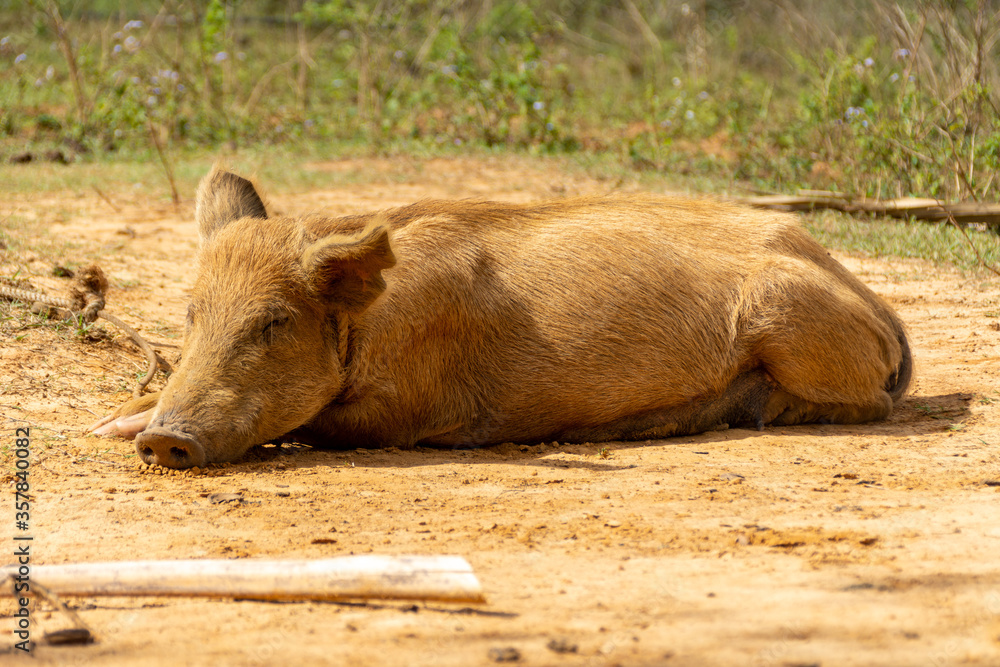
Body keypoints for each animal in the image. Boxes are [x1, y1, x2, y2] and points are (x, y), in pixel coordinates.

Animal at [91, 164, 912, 469]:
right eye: (190, 315)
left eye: (273, 323)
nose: (165, 439)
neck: (373, 323)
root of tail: (880, 308)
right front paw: (105, 426)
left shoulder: (416, 409)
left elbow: (315, 424)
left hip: (790, 317)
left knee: (863, 405)